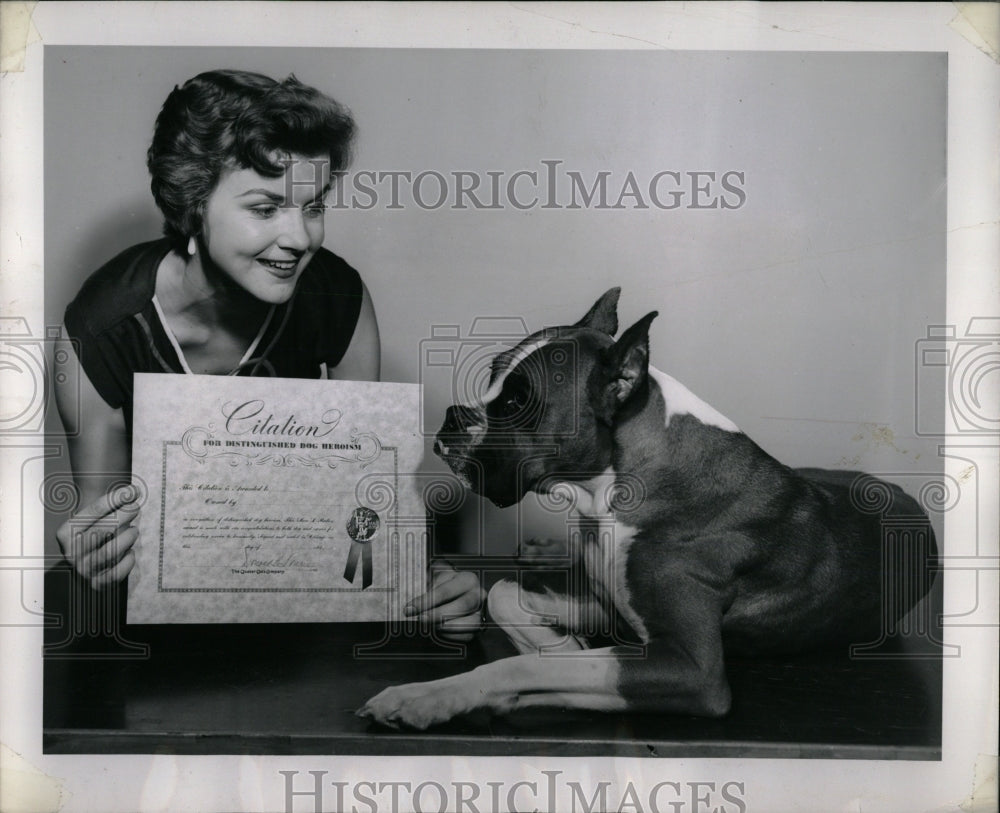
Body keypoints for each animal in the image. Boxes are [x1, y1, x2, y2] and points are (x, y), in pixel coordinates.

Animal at [358, 288, 936, 728]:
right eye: (494, 377)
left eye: (516, 401)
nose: (453, 417)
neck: (604, 493)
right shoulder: (614, 609)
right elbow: (502, 593)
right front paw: (561, 646)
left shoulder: (690, 667)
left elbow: (519, 668)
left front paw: (428, 695)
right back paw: (545, 549)